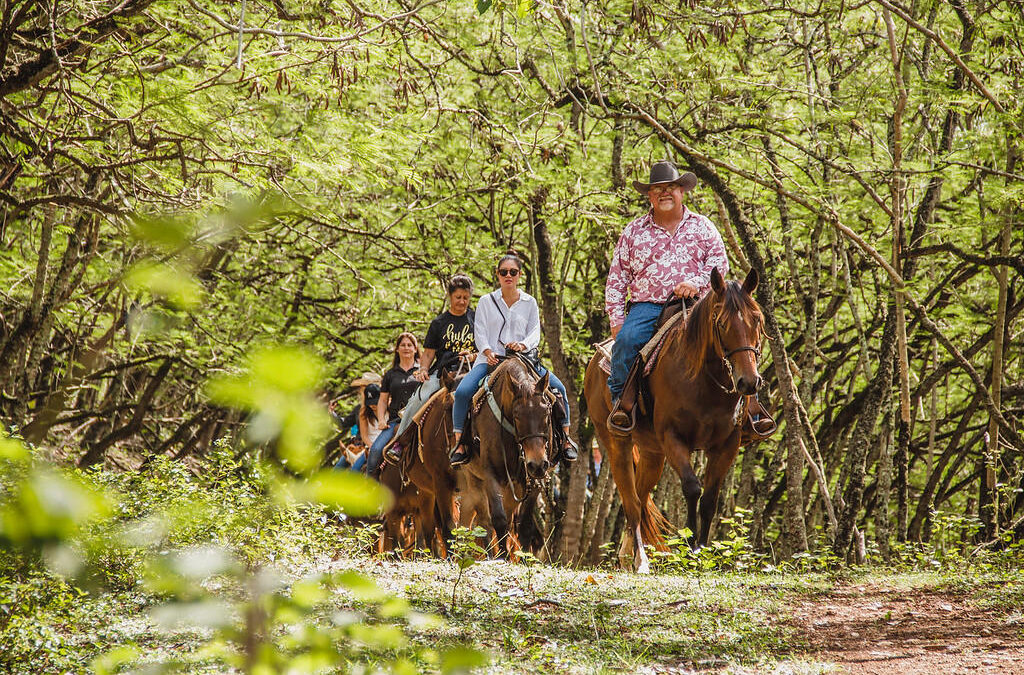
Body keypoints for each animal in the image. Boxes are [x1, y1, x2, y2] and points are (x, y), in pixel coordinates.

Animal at [458, 356, 552, 557]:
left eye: (547, 411)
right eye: (517, 415)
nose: (537, 464)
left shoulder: (534, 480)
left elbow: (524, 524)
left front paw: (524, 558)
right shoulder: (490, 474)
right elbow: (498, 519)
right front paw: (501, 557)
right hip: (474, 480)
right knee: (482, 521)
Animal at [585, 266, 761, 573]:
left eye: (757, 321)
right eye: (721, 324)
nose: (748, 382)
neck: (703, 381)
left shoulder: (727, 445)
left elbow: (710, 499)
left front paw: (704, 551)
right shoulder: (673, 438)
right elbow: (692, 488)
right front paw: (691, 549)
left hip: (652, 453)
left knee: (641, 496)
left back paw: (628, 554)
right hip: (616, 443)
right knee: (631, 501)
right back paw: (640, 560)